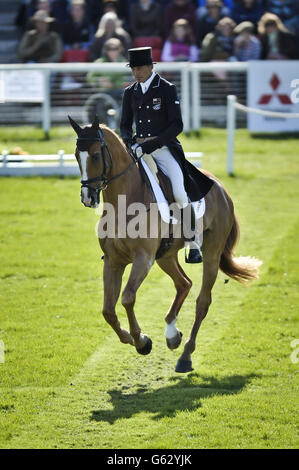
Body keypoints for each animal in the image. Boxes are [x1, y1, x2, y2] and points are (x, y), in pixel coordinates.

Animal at [69, 115, 262, 372]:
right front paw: (132, 338)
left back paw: (185, 356)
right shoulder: (113, 261)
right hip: (166, 256)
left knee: (202, 301)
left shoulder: (143, 259)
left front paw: (142, 342)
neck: (124, 202)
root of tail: (220, 187)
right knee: (184, 283)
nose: (87, 198)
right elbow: (108, 310)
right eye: (75, 156)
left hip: (210, 254)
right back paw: (172, 335)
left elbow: (127, 297)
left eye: (96, 156)